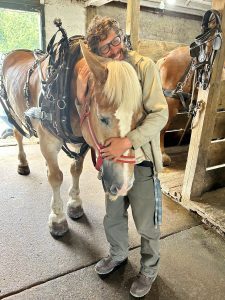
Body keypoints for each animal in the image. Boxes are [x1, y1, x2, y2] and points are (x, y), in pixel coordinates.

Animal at [1, 39, 142, 237]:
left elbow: (76, 170)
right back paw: (23, 164)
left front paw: (75, 204)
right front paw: (57, 218)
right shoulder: (48, 141)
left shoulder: (81, 141)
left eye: (139, 117)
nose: (124, 186)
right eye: (103, 118)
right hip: (15, 113)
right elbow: (56, 177)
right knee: (18, 135)